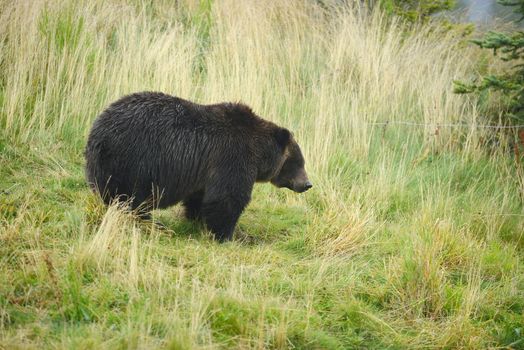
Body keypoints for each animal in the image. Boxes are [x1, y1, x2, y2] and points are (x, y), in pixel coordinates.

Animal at [83, 91, 310, 241]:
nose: (308, 184)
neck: (259, 152)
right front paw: (227, 235)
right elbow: (227, 198)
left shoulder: (207, 168)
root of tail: (95, 132)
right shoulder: (233, 156)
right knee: (127, 198)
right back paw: (150, 222)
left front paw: (196, 218)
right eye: (298, 162)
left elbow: (201, 196)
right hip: (130, 160)